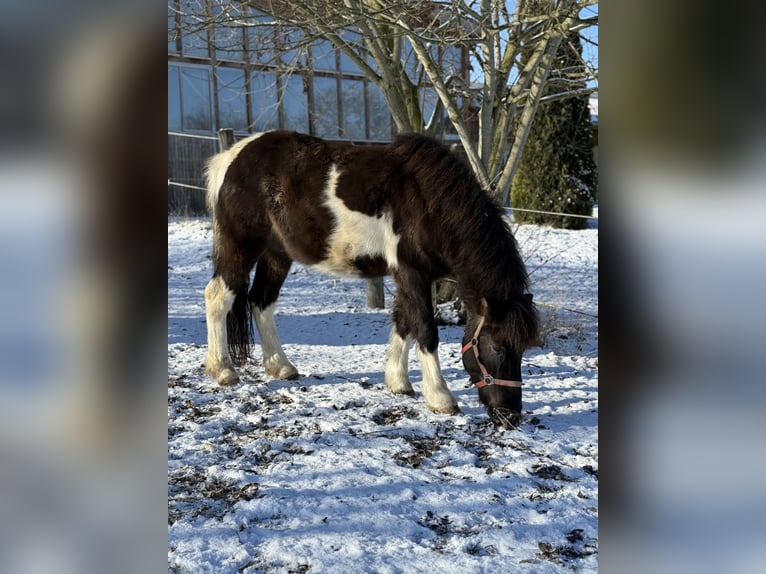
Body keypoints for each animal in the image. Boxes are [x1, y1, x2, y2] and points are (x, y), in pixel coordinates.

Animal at [203, 130, 539, 428]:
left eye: (523, 349)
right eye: (498, 347)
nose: (510, 416)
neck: (428, 201)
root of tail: (230, 157)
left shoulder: (409, 276)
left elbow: (404, 322)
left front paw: (398, 382)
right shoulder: (412, 273)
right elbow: (425, 330)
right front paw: (440, 398)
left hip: (276, 254)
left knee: (261, 302)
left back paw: (280, 367)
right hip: (241, 246)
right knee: (218, 297)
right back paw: (222, 370)